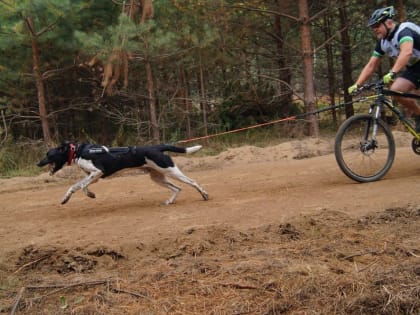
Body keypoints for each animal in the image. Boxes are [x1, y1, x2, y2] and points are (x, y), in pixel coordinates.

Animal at [38, 142, 210, 206]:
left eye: (49, 155)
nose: (37, 163)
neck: (78, 151)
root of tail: (157, 147)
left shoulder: (97, 172)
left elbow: (77, 186)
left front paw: (69, 197)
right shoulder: (93, 176)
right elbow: (81, 186)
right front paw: (87, 194)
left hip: (170, 170)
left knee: (192, 182)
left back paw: (204, 194)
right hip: (157, 177)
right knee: (177, 188)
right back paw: (170, 201)